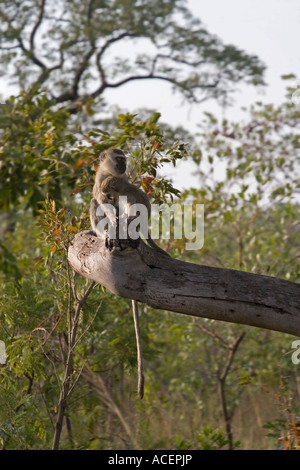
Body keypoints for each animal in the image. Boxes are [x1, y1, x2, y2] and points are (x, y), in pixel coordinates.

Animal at [89, 147, 170, 396]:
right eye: (118, 159)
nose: (123, 165)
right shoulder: (101, 182)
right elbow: (100, 200)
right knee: (95, 203)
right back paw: (107, 234)